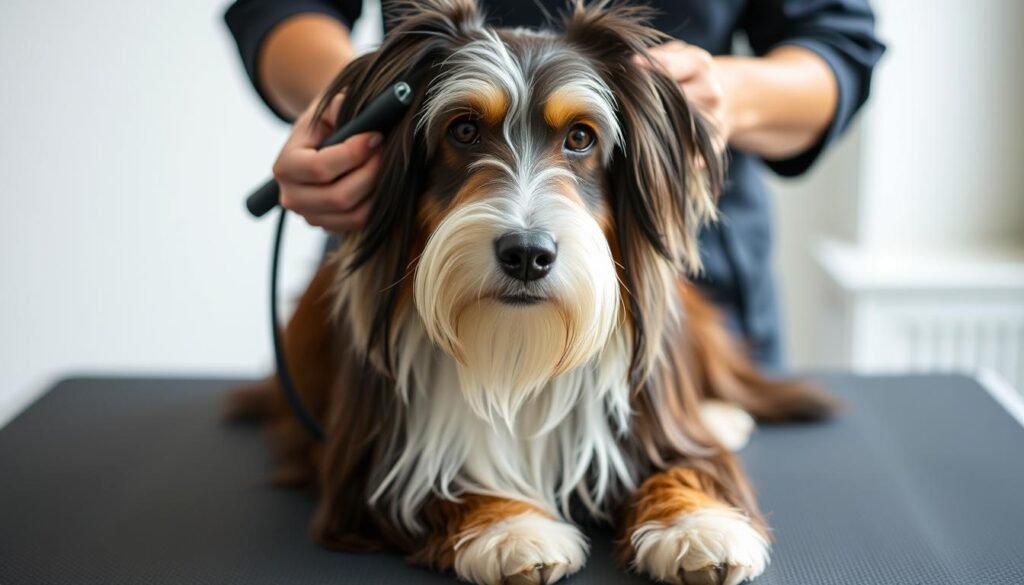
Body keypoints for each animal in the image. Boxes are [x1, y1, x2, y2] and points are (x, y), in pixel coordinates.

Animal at [228, 2, 835, 581]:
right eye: (464, 129)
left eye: (581, 137)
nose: (527, 253)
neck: (516, 345)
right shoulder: (370, 470)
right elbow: (439, 484)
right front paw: (510, 529)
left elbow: (687, 463)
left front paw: (694, 525)